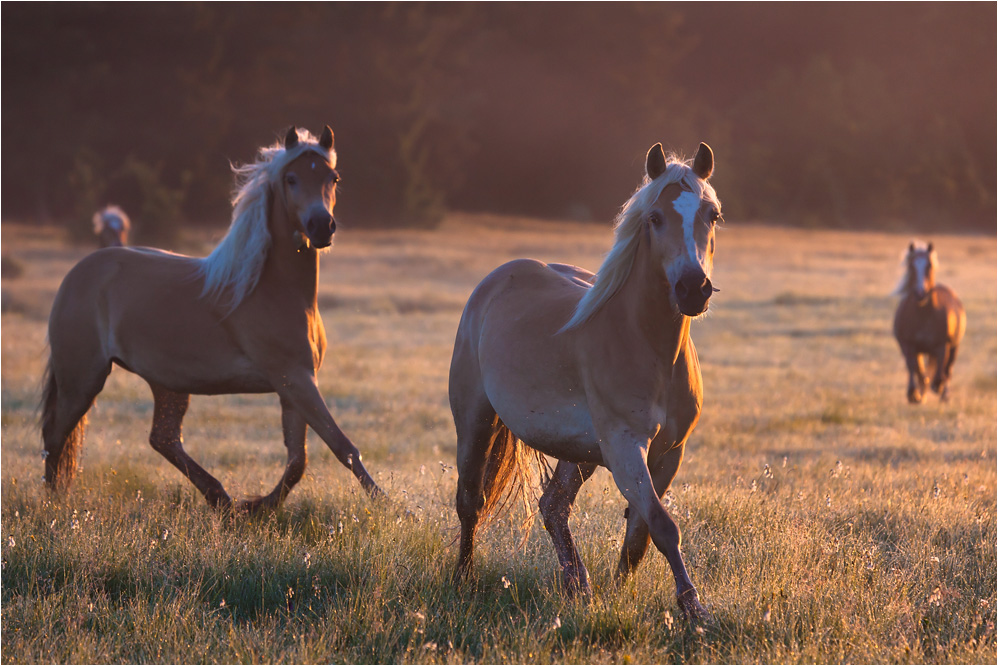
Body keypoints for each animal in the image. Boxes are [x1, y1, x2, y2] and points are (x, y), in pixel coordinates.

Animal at [42, 126, 382, 508]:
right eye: (291, 178)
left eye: (332, 178)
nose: (321, 226)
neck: (272, 288)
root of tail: (77, 274)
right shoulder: (293, 378)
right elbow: (342, 446)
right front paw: (391, 506)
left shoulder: (295, 384)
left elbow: (298, 461)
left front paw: (257, 507)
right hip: (82, 378)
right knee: (55, 437)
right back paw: (53, 505)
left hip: (166, 383)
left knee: (163, 439)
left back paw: (221, 498)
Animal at [450, 141, 724, 624]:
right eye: (655, 218)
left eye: (712, 214)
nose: (694, 288)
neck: (648, 344)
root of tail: (493, 282)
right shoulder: (624, 445)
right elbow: (663, 525)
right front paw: (694, 610)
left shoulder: (668, 453)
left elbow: (640, 533)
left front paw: (619, 593)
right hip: (475, 422)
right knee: (471, 502)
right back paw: (464, 579)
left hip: (578, 454)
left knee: (553, 507)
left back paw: (578, 586)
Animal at [896, 241, 964, 402]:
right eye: (911, 266)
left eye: (929, 266)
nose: (921, 293)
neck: (923, 315)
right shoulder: (907, 344)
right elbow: (913, 367)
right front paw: (914, 393)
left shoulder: (942, 345)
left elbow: (940, 371)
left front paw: (937, 387)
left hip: (954, 346)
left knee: (948, 368)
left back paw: (944, 393)